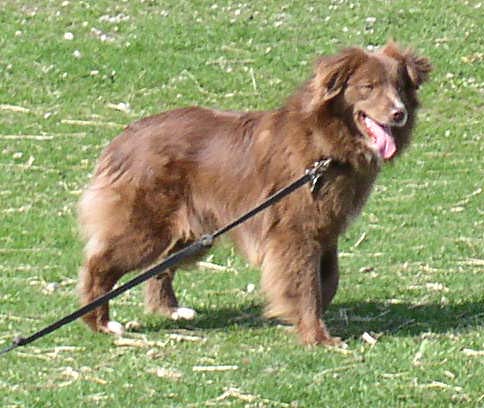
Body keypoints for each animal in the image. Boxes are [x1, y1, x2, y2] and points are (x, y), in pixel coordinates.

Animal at [78, 41, 432, 346]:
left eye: (400, 87)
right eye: (368, 87)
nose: (398, 113)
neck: (325, 146)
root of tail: (122, 140)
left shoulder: (326, 228)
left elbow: (328, 281)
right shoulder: (295, 231)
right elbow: (307, 286)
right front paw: (316, 336)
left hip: (190, 231)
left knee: (160, 266)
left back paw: (171, 310)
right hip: (146, 225)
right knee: (99, 264)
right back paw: (101, 322)